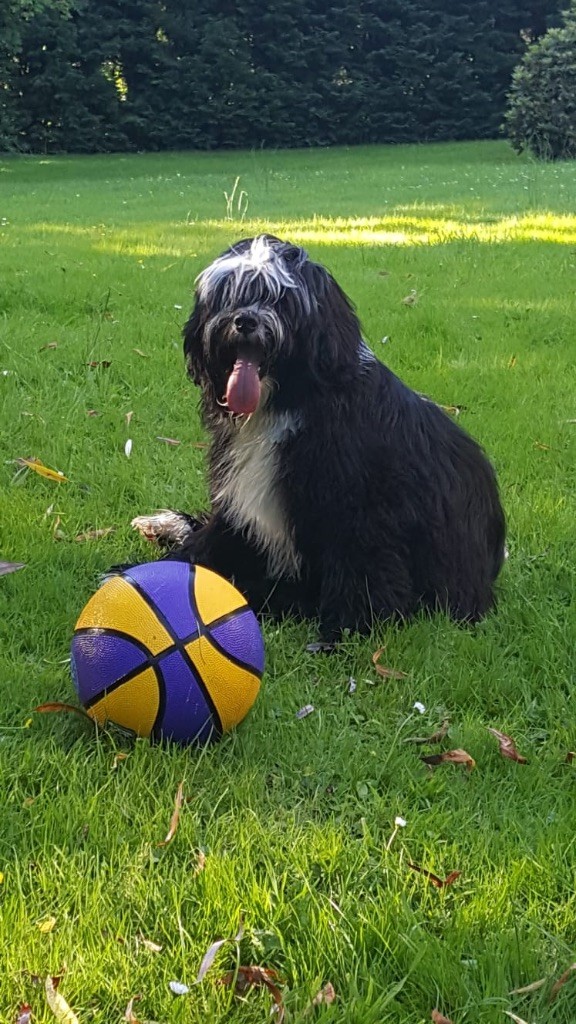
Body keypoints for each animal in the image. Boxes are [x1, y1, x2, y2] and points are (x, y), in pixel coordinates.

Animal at [133, 234, 506, 643]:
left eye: (280, 300)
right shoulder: (239, 507)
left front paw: (347, 627)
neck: (287, 404)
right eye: (229, 296)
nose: (244, 320)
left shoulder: (360, 511)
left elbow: (362, 569)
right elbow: (210, 544)